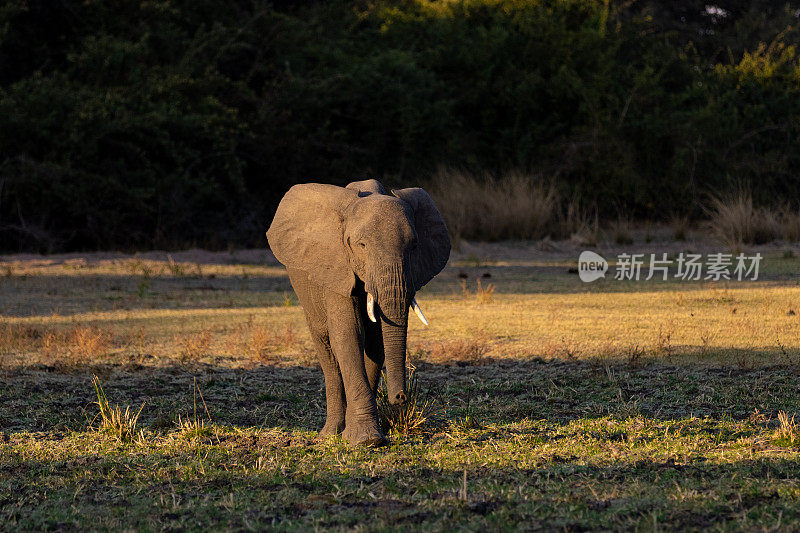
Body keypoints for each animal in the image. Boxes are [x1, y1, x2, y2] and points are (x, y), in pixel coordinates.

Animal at [268, 179, 450, 444]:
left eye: (414, 246)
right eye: (361, 245)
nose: (400, 398)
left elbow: (376, 342)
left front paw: (365, 436)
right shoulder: (337, 268)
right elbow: (349, 334)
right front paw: (366, 440)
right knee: (326, 349)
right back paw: (329, 434)